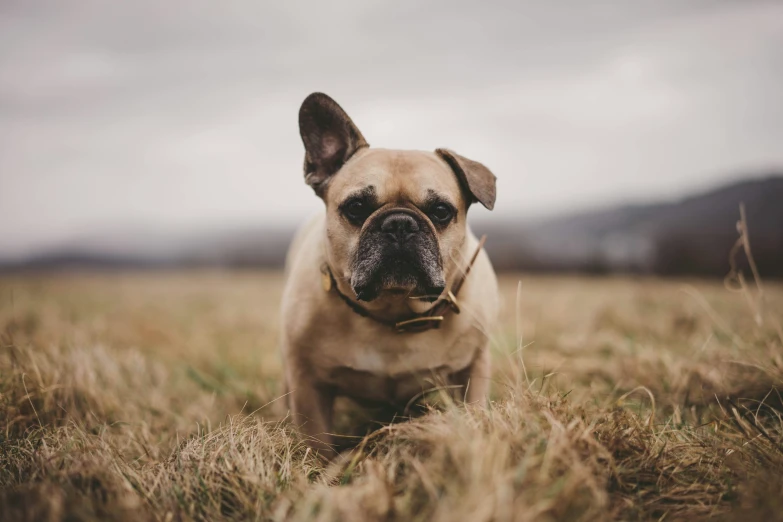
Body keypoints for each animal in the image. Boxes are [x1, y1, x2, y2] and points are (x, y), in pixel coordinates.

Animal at [282, 93, 500, 456]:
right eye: (356, 207)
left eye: (441, 211)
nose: (400, 224)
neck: (394, 310)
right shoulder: (308, 384)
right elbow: (317, 443)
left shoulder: (473, 369)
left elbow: (474, 410)